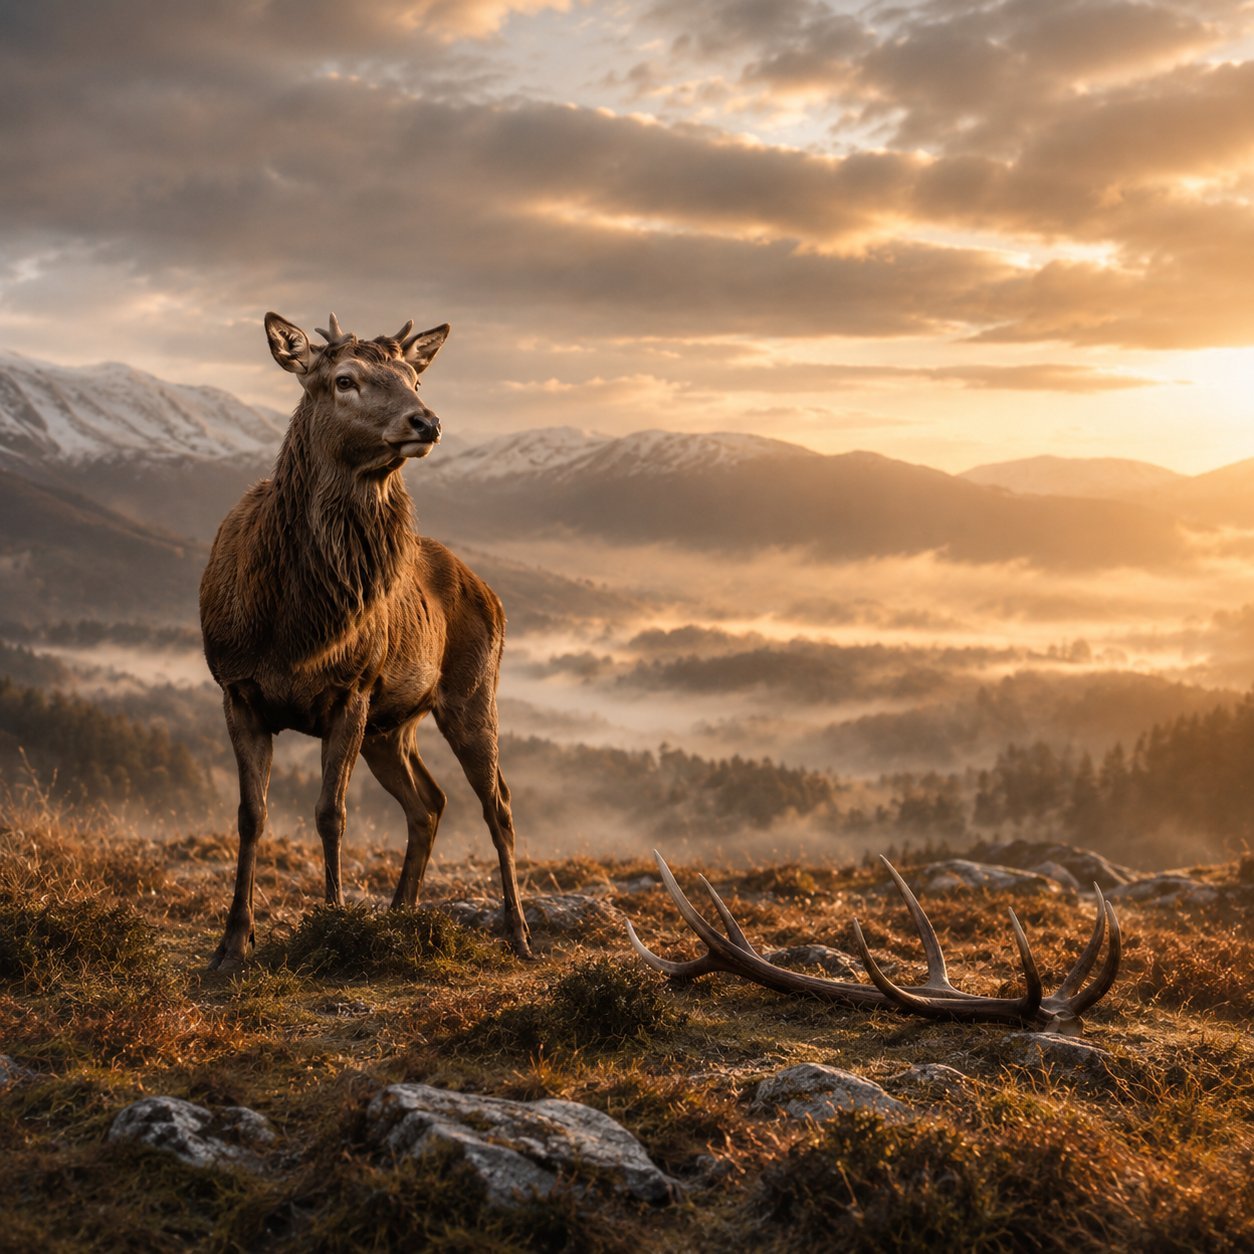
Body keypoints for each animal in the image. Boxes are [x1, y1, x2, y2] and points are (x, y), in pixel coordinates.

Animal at [199, 311, 531, 970]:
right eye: (344, 379)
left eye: (414, 379)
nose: (426, 421)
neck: (292, 630)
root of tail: (491, 593)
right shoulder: (237, 689)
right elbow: (251, 816)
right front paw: (232, 943)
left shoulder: (350, 690)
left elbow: (332, 814)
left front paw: (333, 921)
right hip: (391, 727)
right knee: (429, 802)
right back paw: (402, 915)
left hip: (472, 693)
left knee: (498, 804)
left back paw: (518, 933)